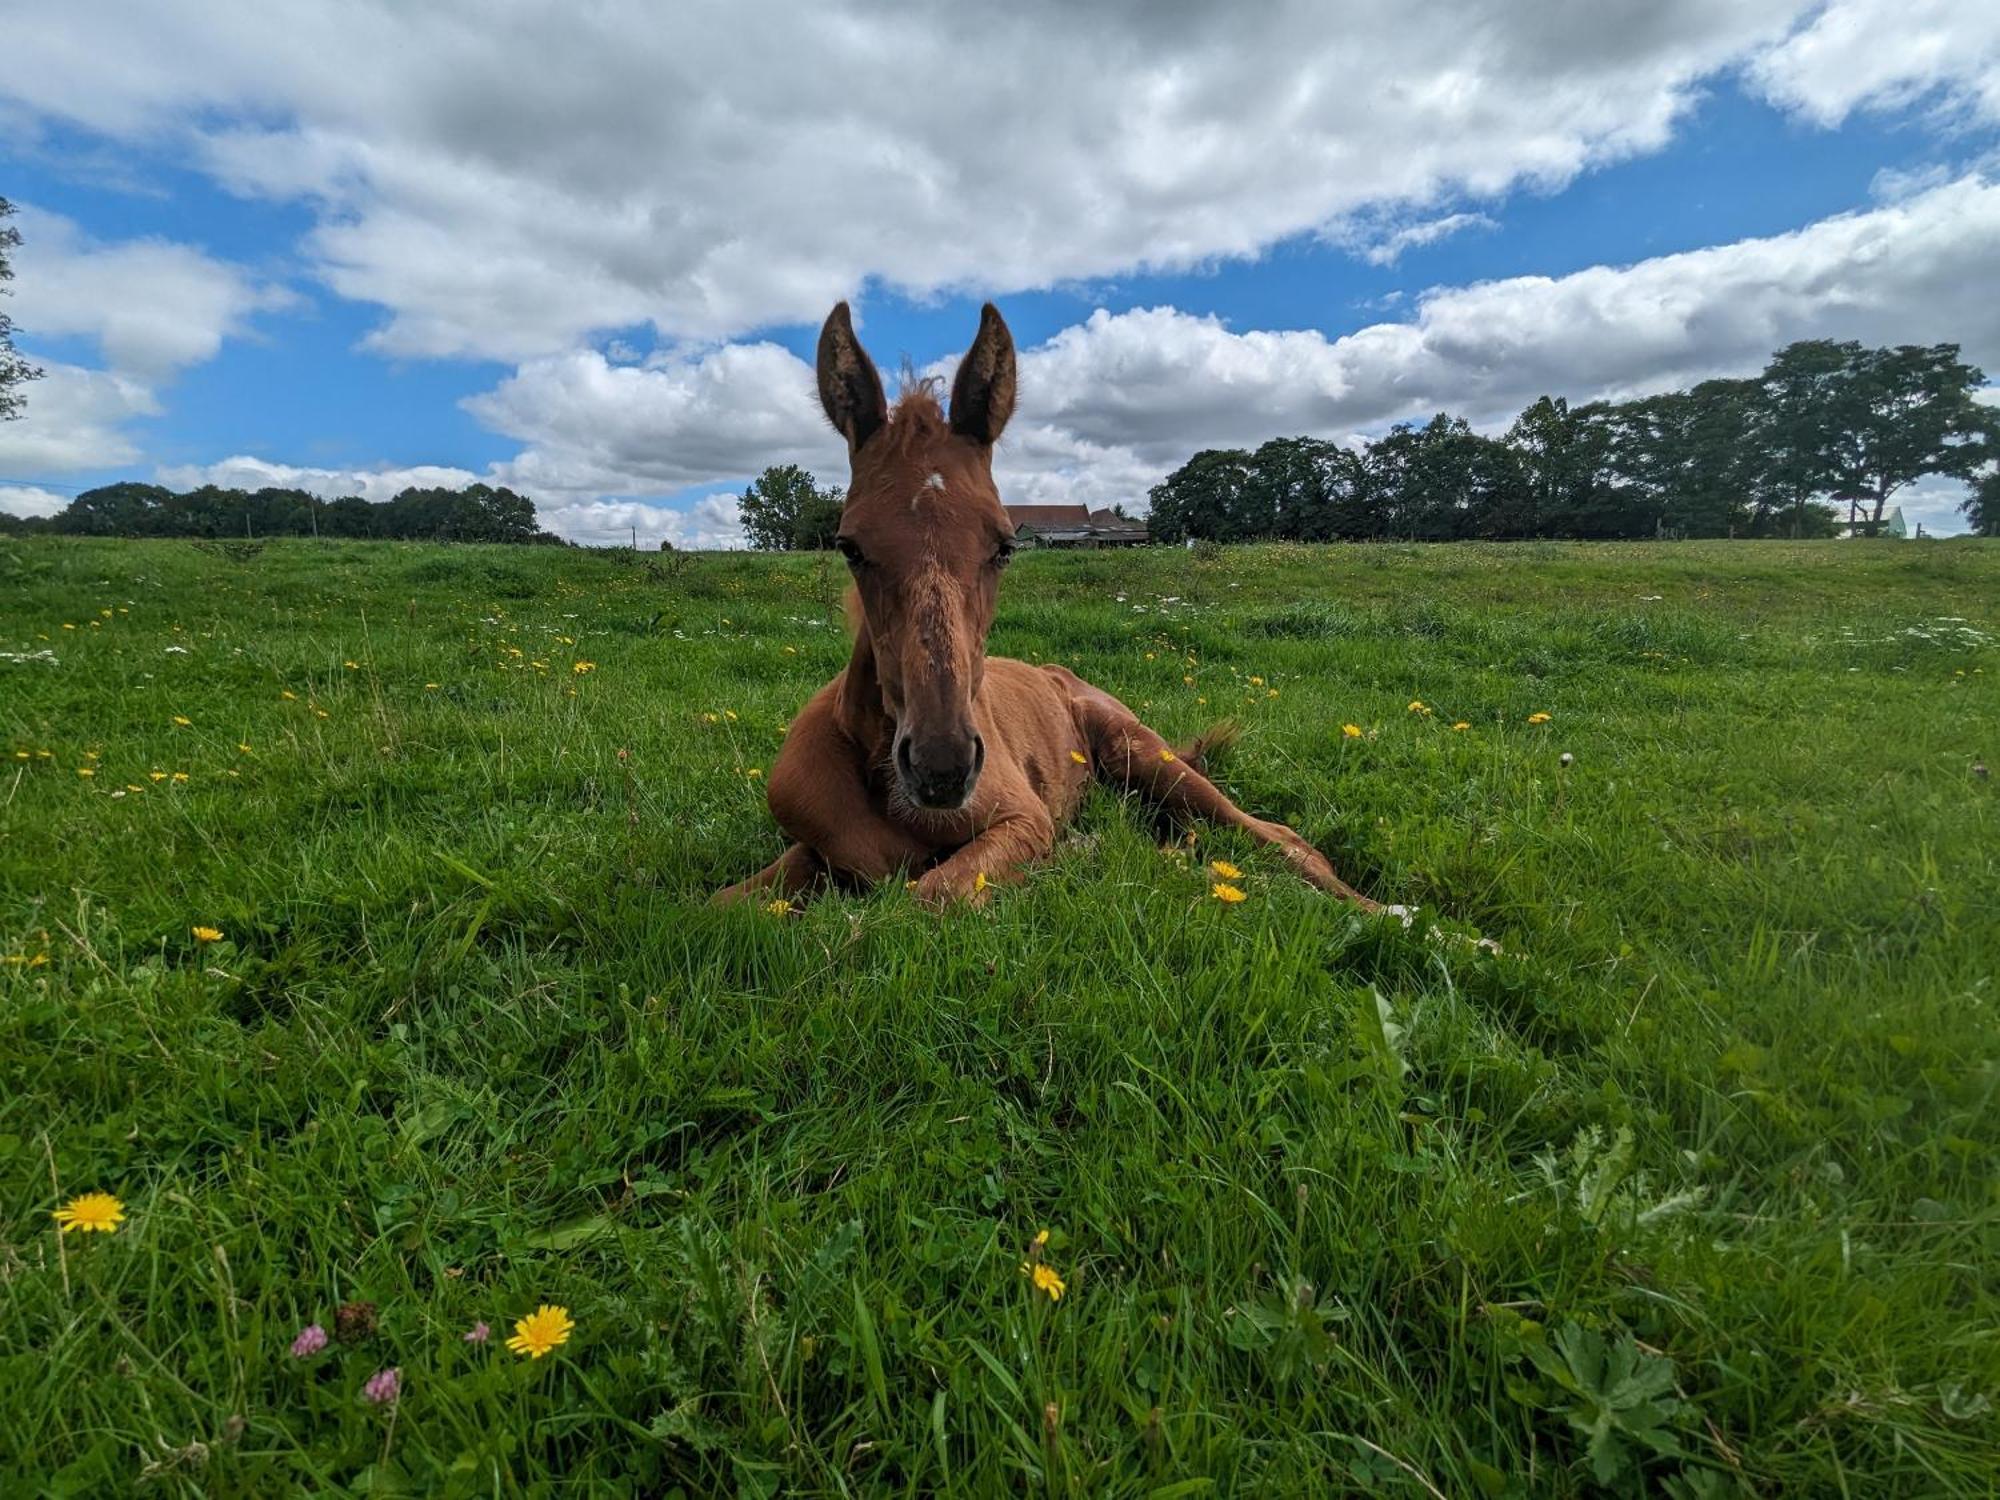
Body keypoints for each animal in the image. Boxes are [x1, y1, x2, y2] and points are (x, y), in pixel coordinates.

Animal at [712, 302, 1384, 916]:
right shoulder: (815, 852)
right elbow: (720, 905)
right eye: (849, 547)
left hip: (1146, 752)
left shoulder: (1021, 822)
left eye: (1004, 546)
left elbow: (919, 901)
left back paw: (1390, 916)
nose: (941, 767)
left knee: (1279, 837)